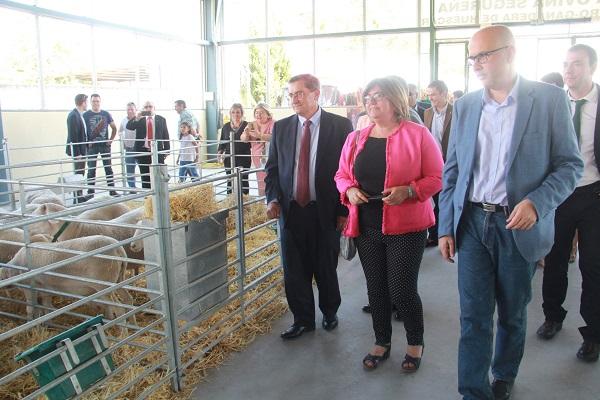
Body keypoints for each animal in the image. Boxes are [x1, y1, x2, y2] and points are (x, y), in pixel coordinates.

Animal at [2, 234, 135, 328]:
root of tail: (119, 250)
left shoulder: (29, 288)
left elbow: (30, 308)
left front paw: (30, 325)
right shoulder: (45, 290)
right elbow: (46, 307)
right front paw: (47, 324)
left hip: (104, 285)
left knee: (119, 308)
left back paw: (123, 334)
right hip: (118, 279)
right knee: (128, 299)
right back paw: (133, 325)